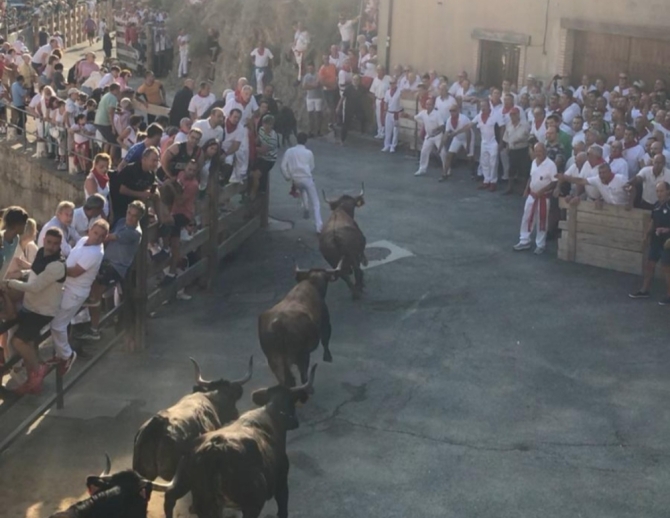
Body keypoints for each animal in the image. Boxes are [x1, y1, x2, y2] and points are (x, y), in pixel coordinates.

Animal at [164, 366, 318, 518]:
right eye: (293, 403)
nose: (295, 422)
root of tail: (215, 448)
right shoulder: (281, 484)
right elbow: (283, 511)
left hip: (194, 491)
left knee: (170, 497)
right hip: (251, 504)